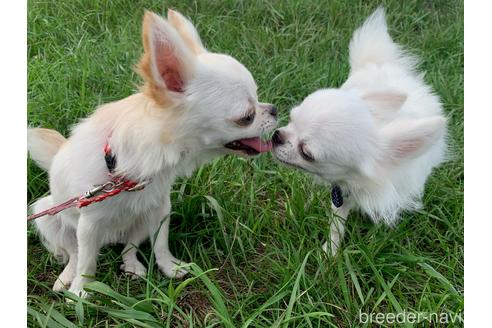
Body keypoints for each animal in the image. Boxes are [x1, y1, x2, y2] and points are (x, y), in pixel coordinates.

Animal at [27, 9, 276, 298]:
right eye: (246, 117)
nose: (274, 110)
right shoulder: (88, 225)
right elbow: (87, 261)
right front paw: (81, 291)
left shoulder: (160, 209)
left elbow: (161, 244)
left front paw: (169, 268)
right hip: (49, 214)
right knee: (73, 253)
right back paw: (66, 278)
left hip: (140, 220)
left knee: (129, 246)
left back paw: (132, 266)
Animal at [270, 6, 448, 255]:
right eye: (291, 120)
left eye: (307, 153)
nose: (276, 135)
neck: (356, 183)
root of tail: (377, 65)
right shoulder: (340, 195)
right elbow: (336, 223)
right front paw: (330, 252)